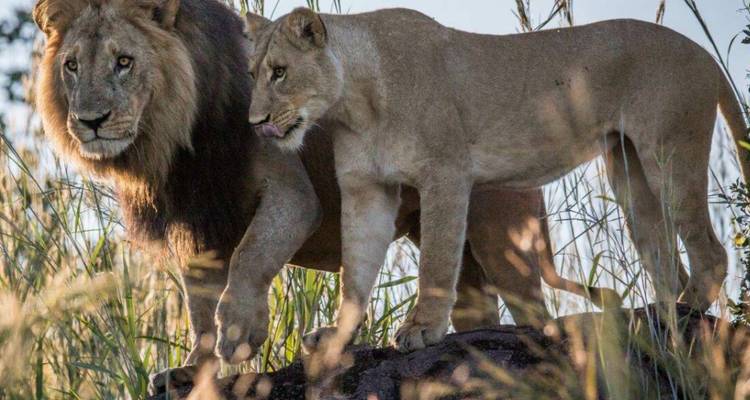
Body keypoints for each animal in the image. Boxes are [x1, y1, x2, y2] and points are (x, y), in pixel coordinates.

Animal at [32, 0, 618, 388]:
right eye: (71, 66)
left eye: (124, 61)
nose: (90, 122)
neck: (172, 141)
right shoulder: (194, 219)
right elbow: (198, 303)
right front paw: (196, 368)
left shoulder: (291, 191)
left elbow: (250, 257)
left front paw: (239, 333)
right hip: (464, 254)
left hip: (502, 239)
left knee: (534, 311)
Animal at [245, 7, 746, 354]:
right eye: (252, 74)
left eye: (280, 72)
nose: (255, 122)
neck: (355, 103)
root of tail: (704, 52)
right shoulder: (367, 189)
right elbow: (357, 270)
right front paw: (338, 337)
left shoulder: (446, 173)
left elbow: (437, 262)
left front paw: (421, 329)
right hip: (629, 170)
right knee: (665, 256)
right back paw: (662, 316)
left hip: (670, 152)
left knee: (711, 250)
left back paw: (687, 311)